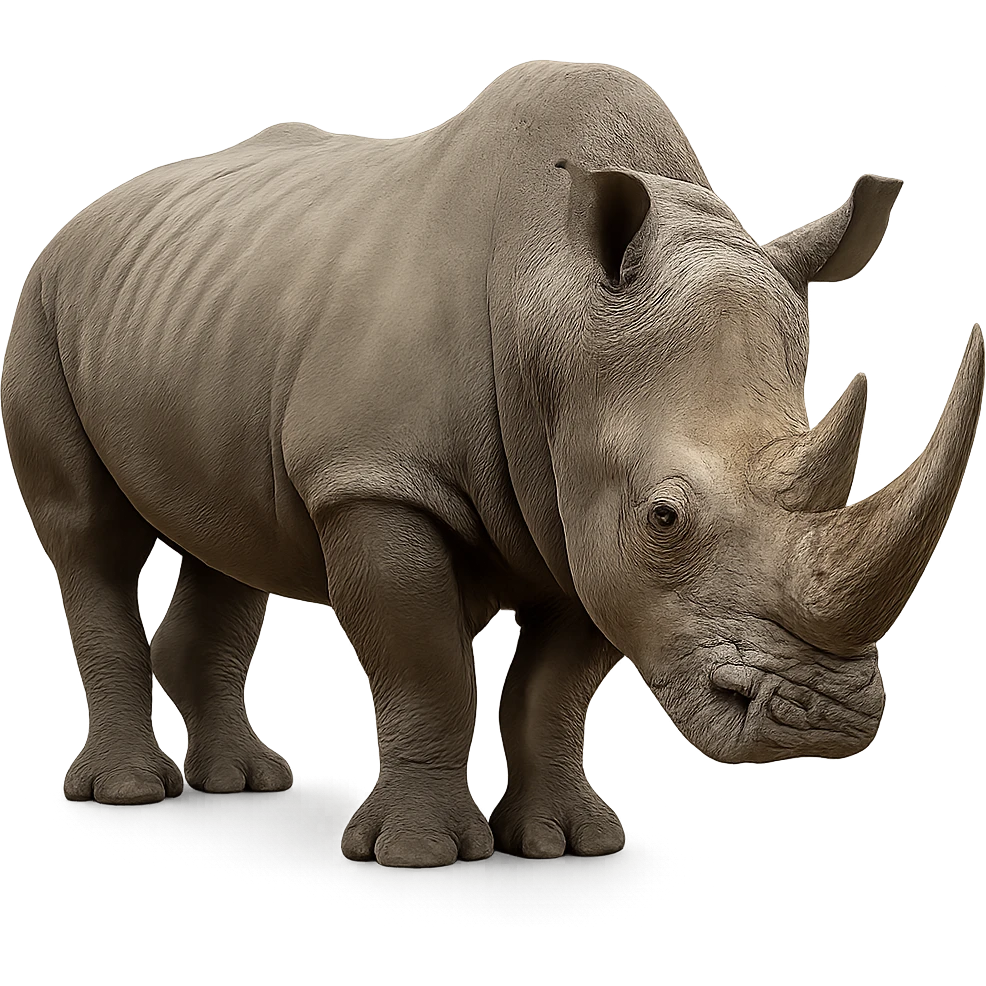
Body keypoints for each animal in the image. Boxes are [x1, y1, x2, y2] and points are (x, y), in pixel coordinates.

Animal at [3, 60, 981, 868]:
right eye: (666, 517)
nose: (824, 724)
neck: (552, 307)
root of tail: (89, 213)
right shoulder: (375, 479)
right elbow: (424, 664)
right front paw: (419, 855)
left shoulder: (580, 520)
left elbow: (554, 689)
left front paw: (567, 843)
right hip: (43, 300)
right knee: (90, 538)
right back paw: (133, 793)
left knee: (232, 539)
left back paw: (245, 781)